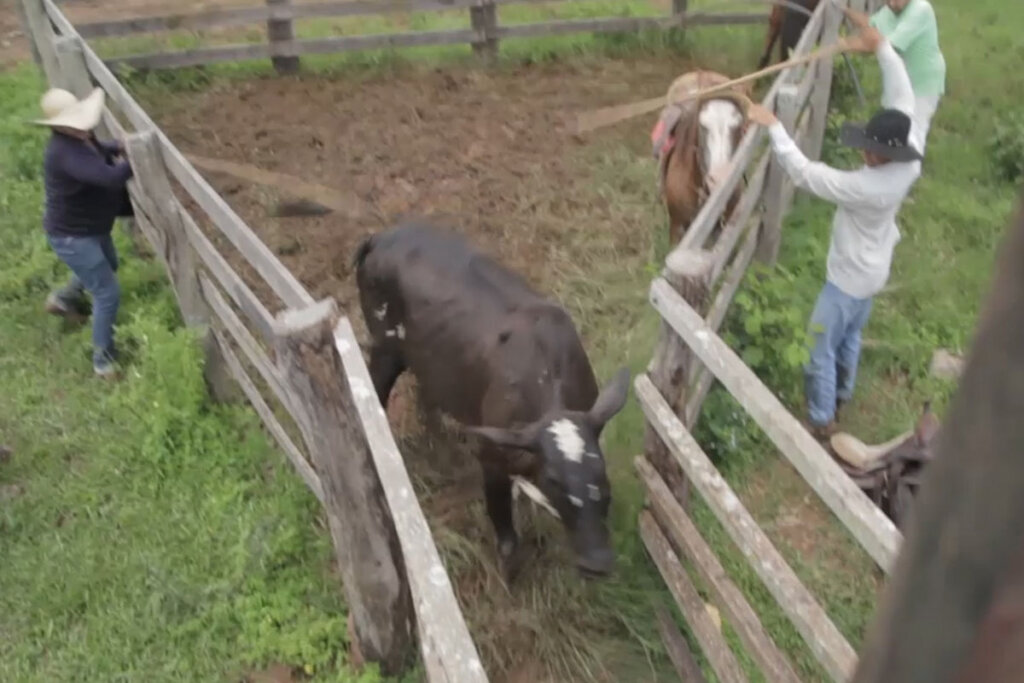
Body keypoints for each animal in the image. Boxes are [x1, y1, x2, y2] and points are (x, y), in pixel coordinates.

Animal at [354, 222, 630, 581]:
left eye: (601, 472)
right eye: (553, 480)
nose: (597, 562)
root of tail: (382, 236)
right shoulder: (491, 456)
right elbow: (508, 540)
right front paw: (510, 577)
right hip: (385, 349)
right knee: (374, 394)